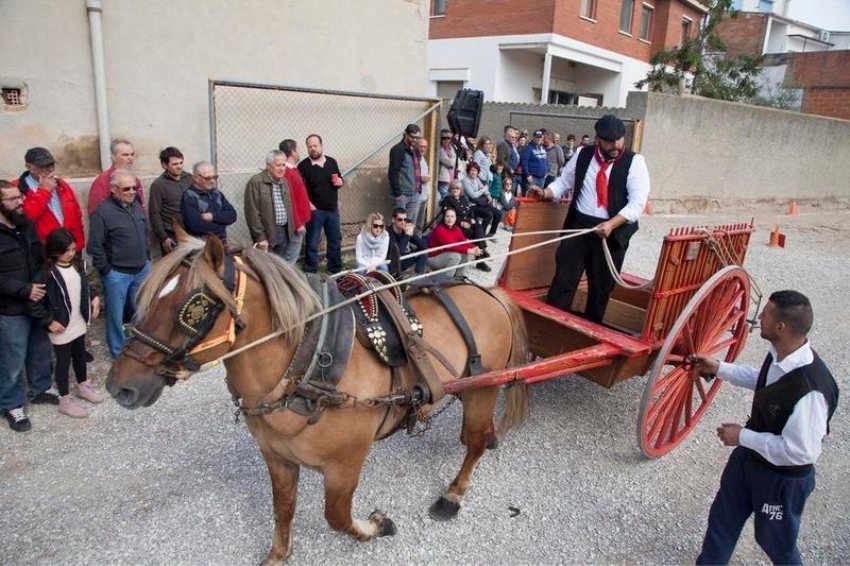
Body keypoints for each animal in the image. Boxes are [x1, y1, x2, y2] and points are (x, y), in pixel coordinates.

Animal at [105, 233, 528, 564]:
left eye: (194, 306)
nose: (120, 387)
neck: (309, 367)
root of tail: (490, 294)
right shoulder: (277, 459)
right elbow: (283, 508)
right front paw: (278, 555)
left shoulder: (345, 465)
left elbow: (337, 517)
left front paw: (376, 526)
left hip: (483, 387)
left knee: (472, 441)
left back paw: (453, 494)